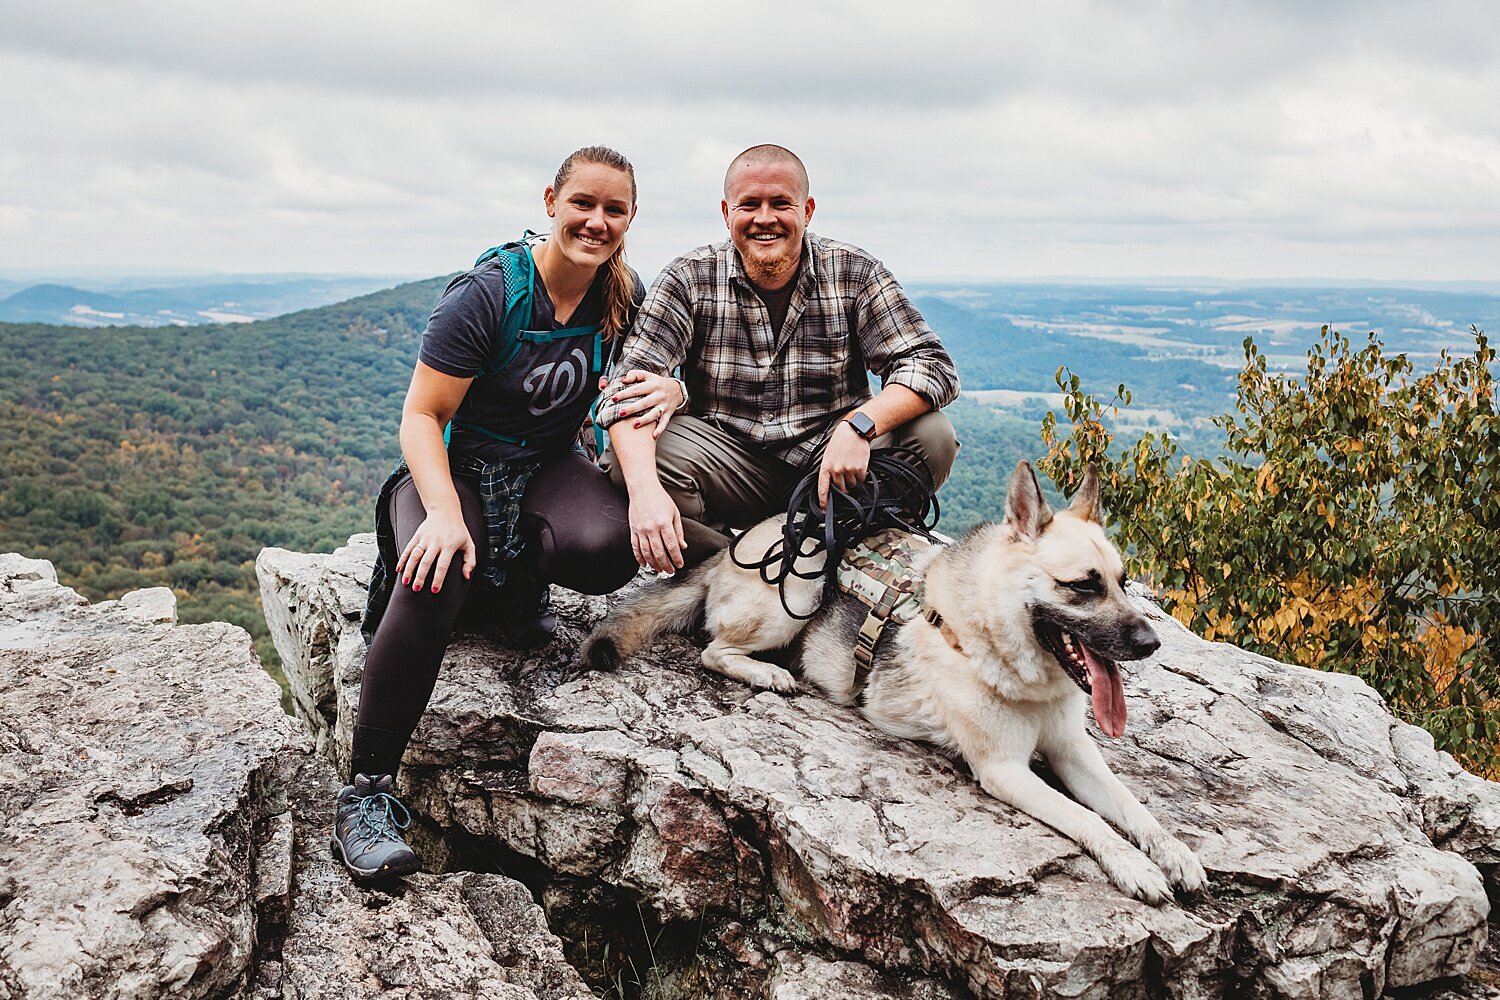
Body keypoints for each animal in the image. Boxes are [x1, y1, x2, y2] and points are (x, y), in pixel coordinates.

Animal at [579, 464, 1212, 905]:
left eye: (1123, 582)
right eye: (1082, 586)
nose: (1150, 644)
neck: (997, 644)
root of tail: (748, 538)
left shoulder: (1075, 752)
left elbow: (1132, 808)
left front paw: (1173, 852)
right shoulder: (1004, 770)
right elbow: (1087, 820)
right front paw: (1134, 867)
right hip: (799, 587)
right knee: (715, 649)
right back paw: (769, 672)